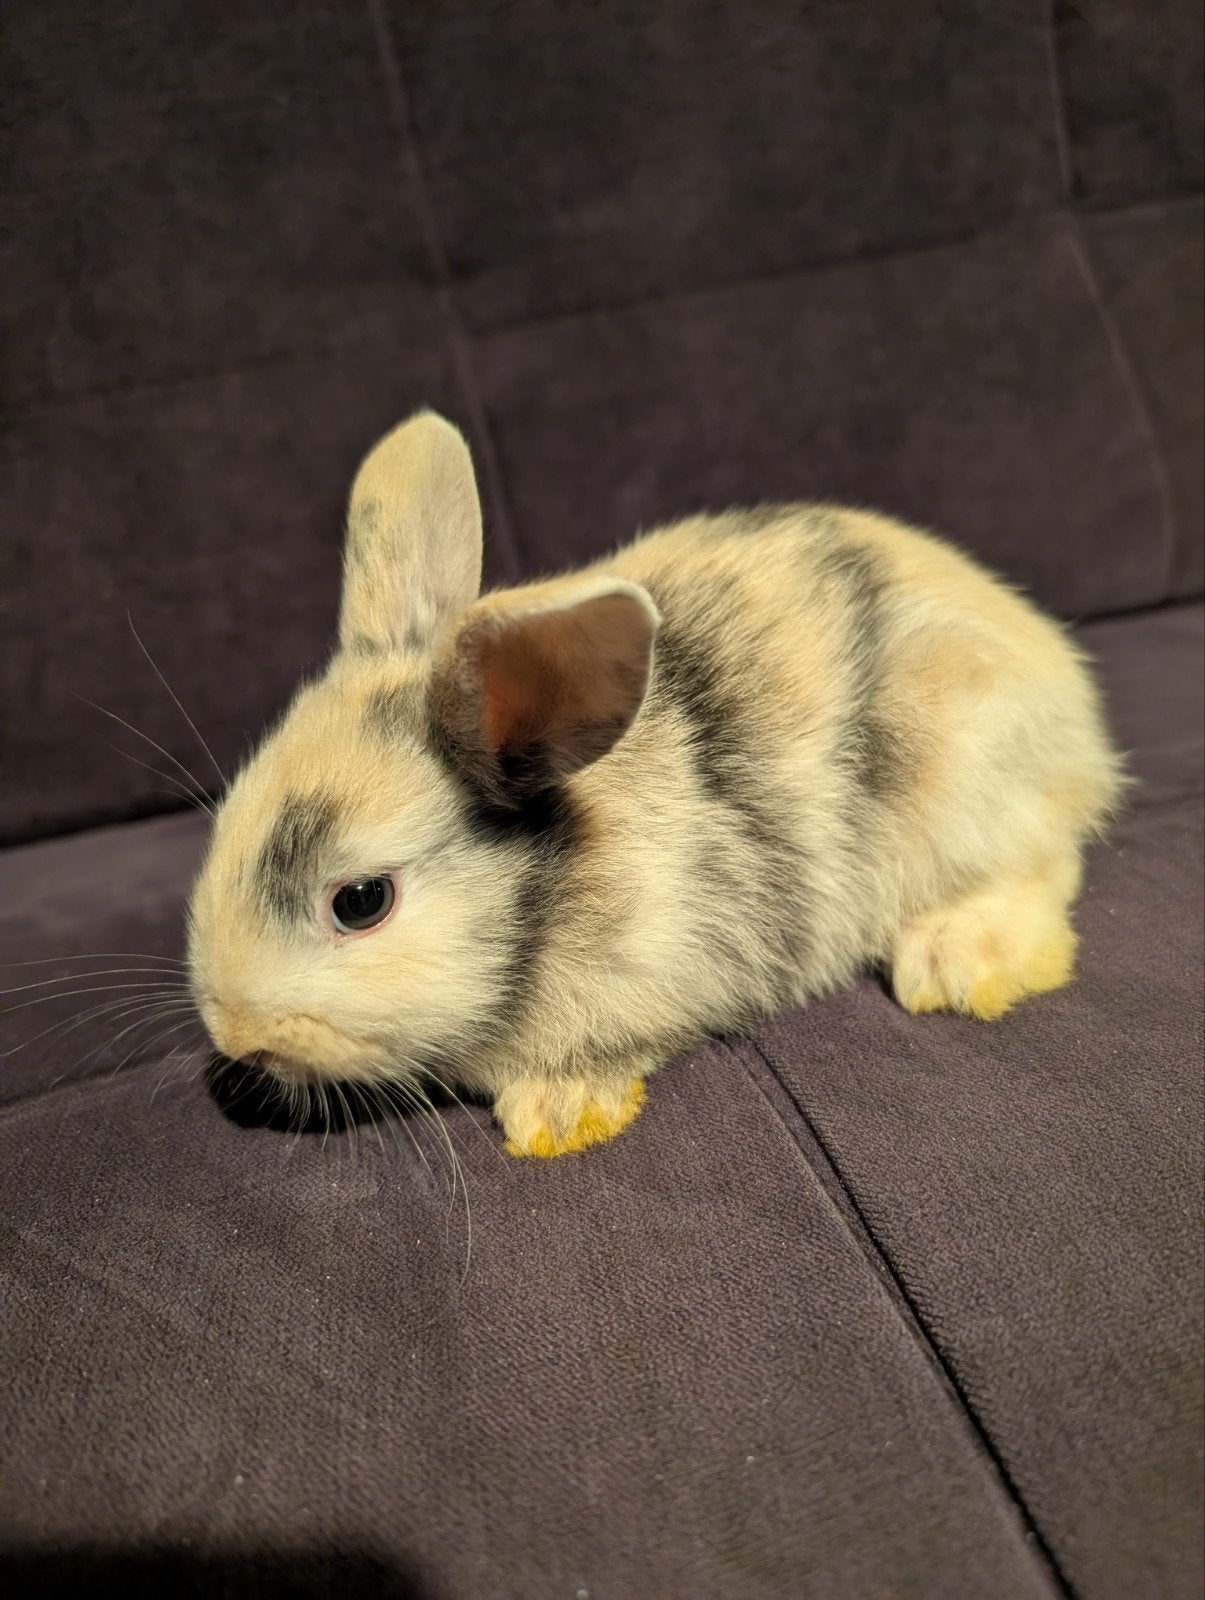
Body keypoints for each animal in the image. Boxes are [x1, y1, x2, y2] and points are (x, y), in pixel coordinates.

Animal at [187, 410, 1124, 1158]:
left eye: (361, 902)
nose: (238, 1036)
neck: (555, 887)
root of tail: (1063, 685)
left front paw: (557, 1119)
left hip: (970, 781)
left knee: (1041, 867)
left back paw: (959, 964)